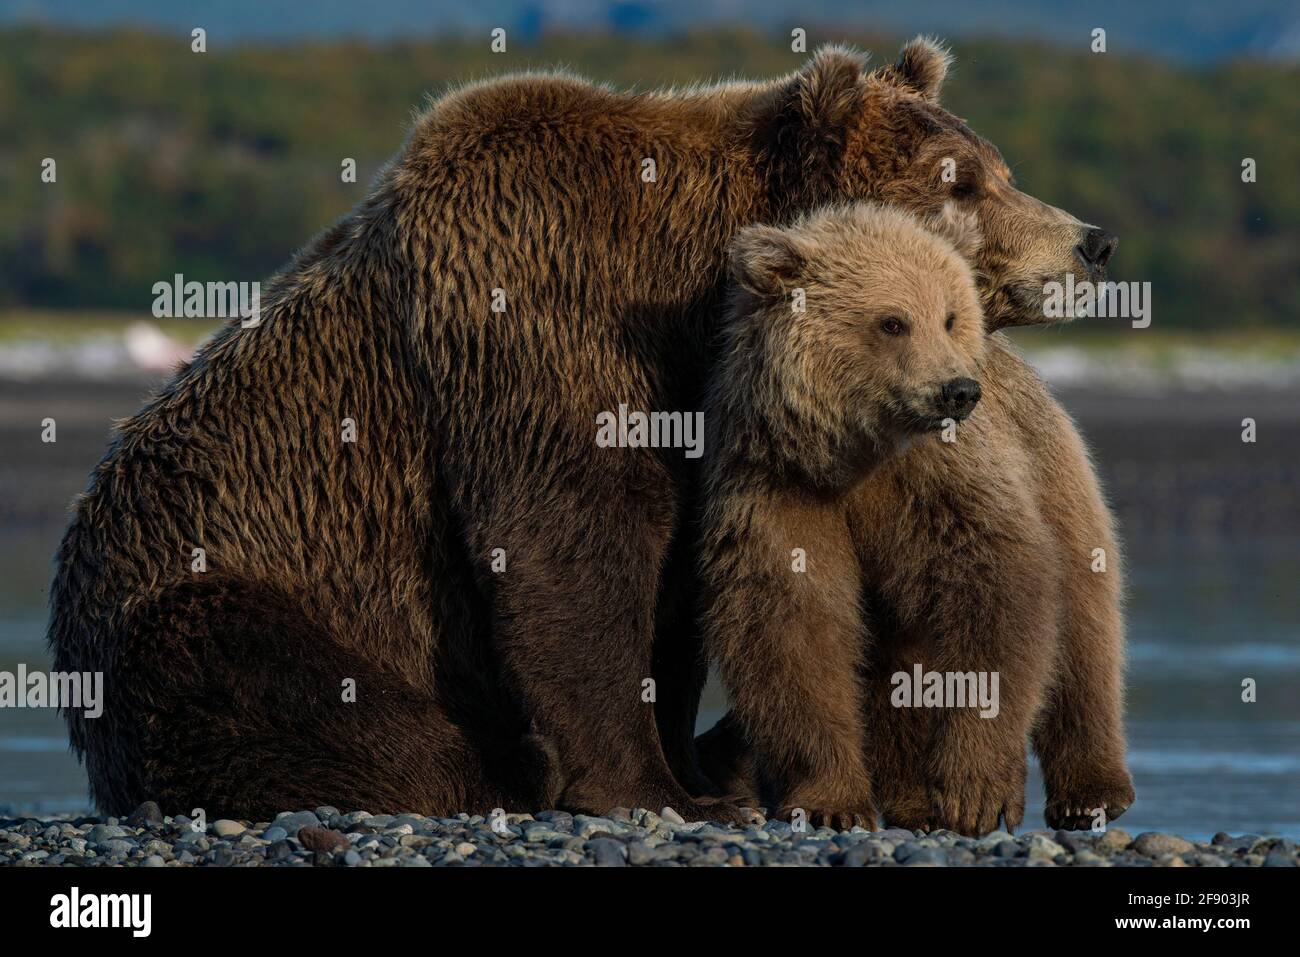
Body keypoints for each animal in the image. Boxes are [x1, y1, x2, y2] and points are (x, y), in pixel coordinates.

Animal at [695, 204, 1133, 835]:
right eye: (893, 322)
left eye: (949, 316)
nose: (958, 390)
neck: (857, 454)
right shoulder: (777, 483)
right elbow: (791, 622)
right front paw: (832, 799)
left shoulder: (942, 479)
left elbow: (996, 591)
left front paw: (975, 792)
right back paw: (908, 800)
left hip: (1054, 473)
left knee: (1082, 629)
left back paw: (1088, 792)